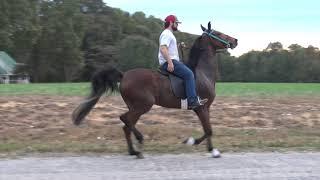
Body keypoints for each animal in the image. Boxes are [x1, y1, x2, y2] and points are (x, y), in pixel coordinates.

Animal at [72, 21, 238, 158]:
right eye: (218, 33)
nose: (235, 40)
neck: (203, 73)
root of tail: (124, 75)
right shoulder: (201, 107)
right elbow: (208, 130)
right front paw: (193, 142)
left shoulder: (205, 108)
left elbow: (208, 129)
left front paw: (211, 149)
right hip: (143, 105)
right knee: (125, 120)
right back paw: (139, 142)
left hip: (136, 107)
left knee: (126, 125)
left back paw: (133, 151)